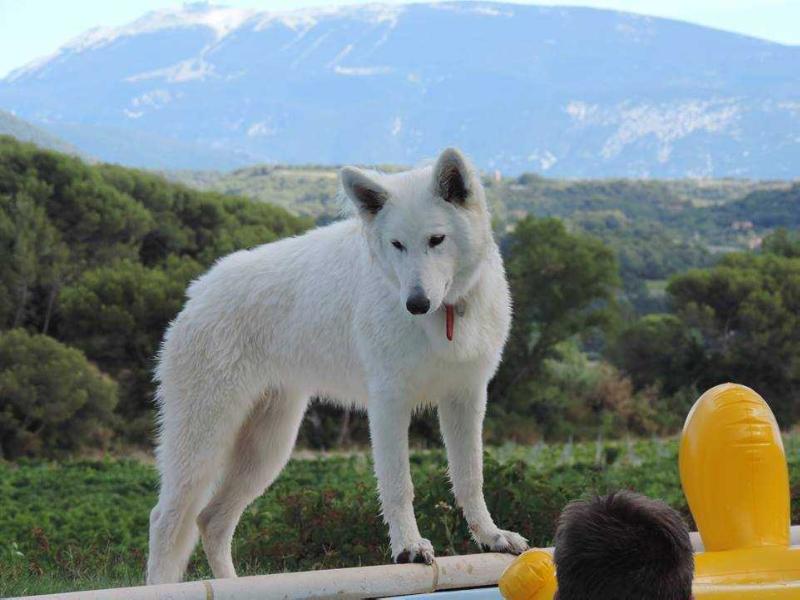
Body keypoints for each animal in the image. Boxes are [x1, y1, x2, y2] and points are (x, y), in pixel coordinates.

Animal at [147, 148, 528, 584]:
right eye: (397, 245)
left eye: (436, 240)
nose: (415, 304)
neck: (444, 314)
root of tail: (198, 291)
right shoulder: (389, 405)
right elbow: (399, 485)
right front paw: (409, 548)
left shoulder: (465, 400)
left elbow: (470, 477)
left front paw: (492, 538)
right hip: (204, 442)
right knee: (166, 521)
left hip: (267, 448)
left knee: (211, 521)